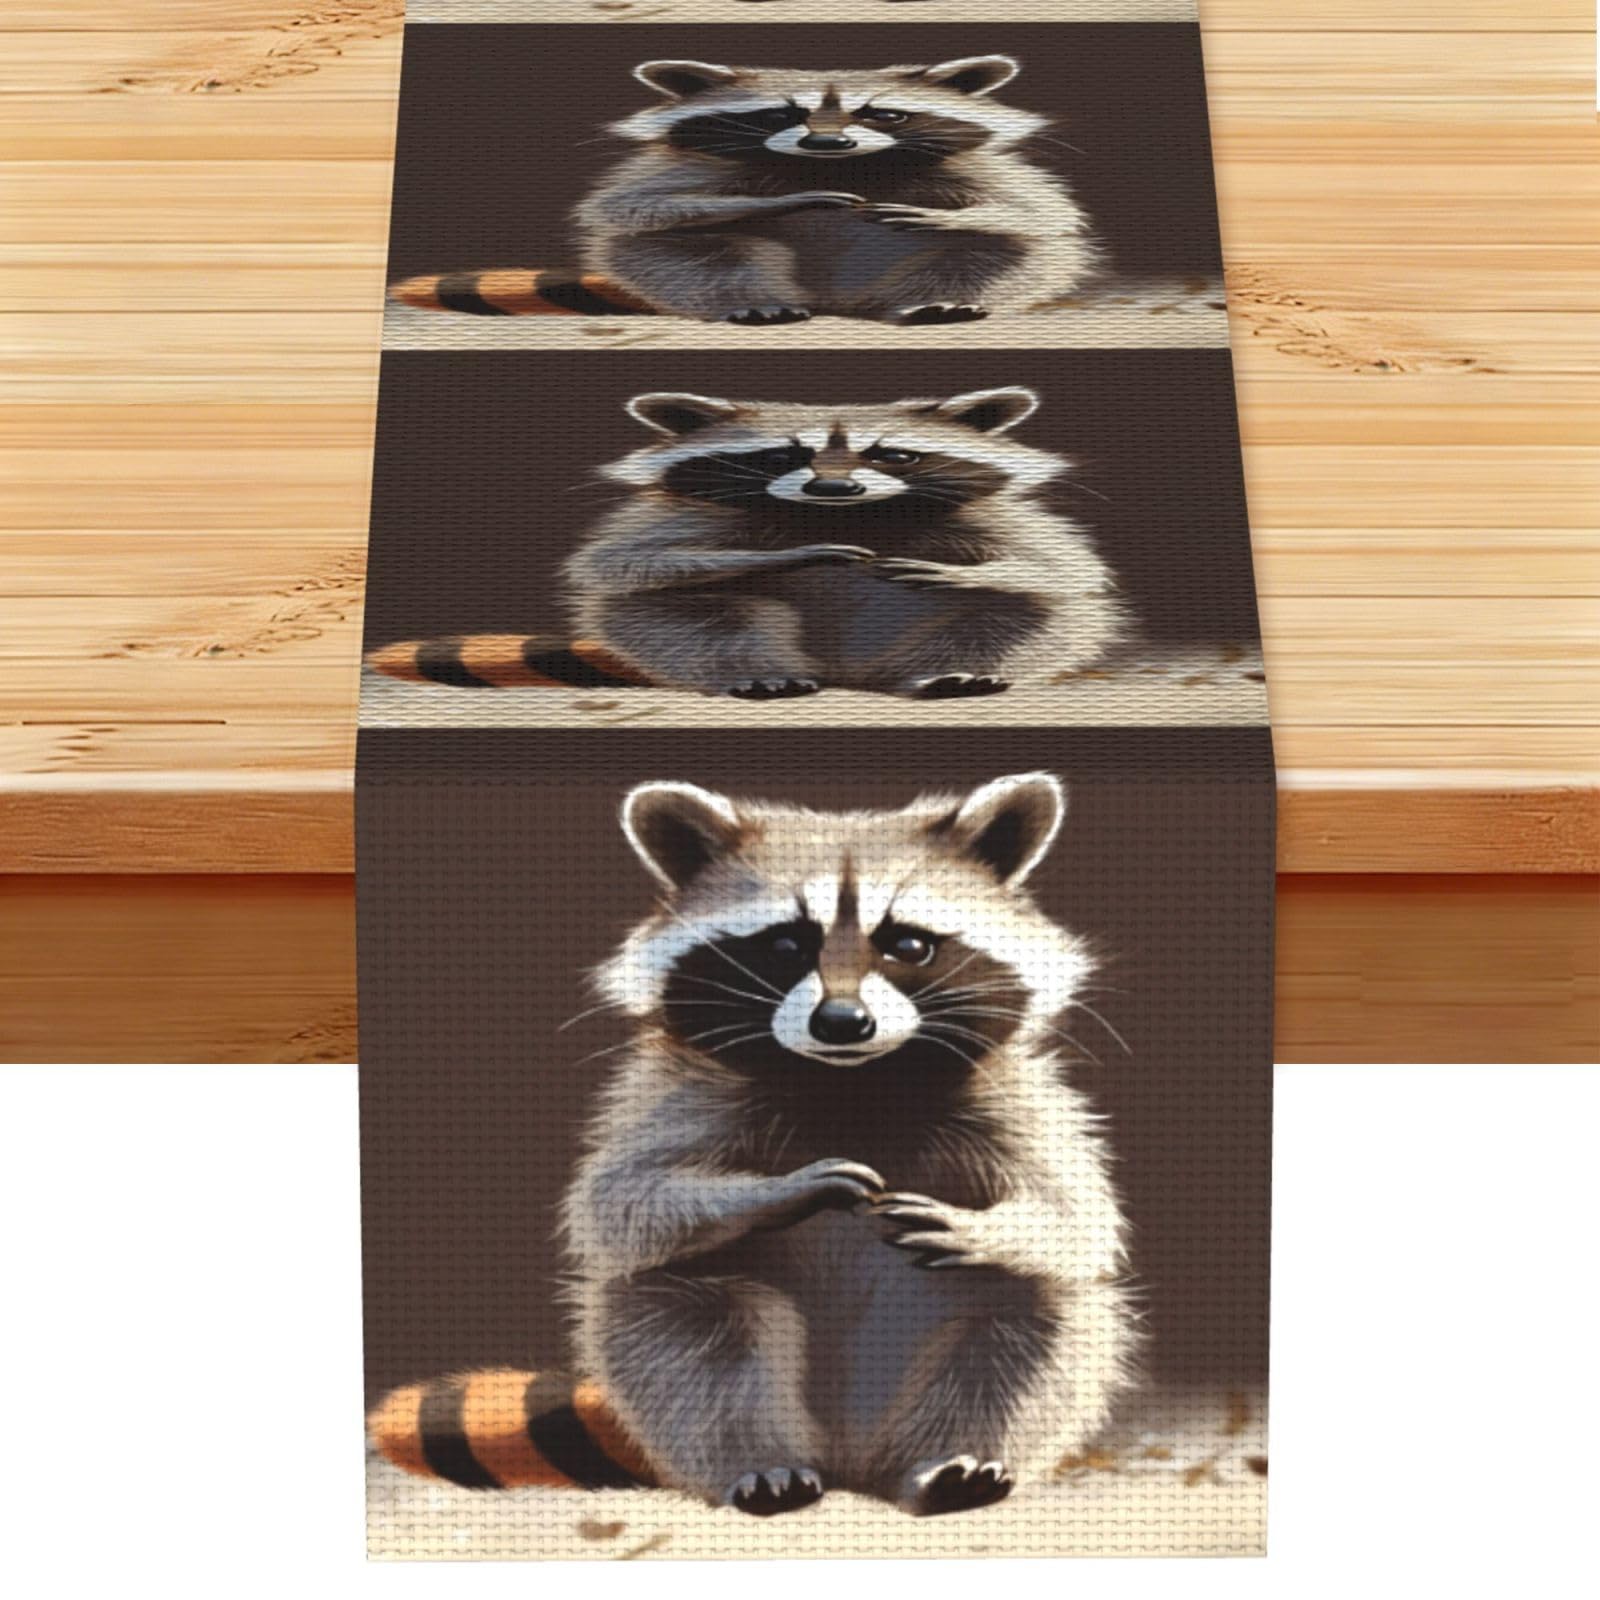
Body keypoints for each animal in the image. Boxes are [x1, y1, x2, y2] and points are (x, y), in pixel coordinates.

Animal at [561, 773, 1138, 1515]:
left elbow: (1077, 1218)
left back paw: (950, 1462)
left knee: (1033, 1322)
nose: (842, 1022)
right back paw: (761, 1464)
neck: (851, 1083)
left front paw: (983, 1227)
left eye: (908, 945)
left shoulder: (1015, 1100)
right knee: (691, 1341)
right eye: (786, 946)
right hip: (686, 1333)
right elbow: (624, 1201)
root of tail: (852, 1460)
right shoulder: (683, 1095)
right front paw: (780, 1191)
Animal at [563, 386, 1125, 700]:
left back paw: (953, 673)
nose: (833, 489)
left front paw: (958, 572)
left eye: (893, 455)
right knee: (700, 624)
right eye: (779, 458)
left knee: (1018, 615)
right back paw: (761, 673)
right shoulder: (698, 515)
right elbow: (624, 563)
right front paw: (787, 555)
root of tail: (848, 674)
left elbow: (1065, 569)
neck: (847, 517)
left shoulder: (983, 518)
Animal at [577, 55, 1096, 325]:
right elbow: (631, 207)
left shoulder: (965, 167)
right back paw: (752, 302)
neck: (841, 168)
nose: (827, 143)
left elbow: (1041, 212)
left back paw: (940, 301)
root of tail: (837, 302)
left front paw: (946, 216)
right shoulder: (704, 165)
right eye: (778, 115)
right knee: (695, 259)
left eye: (884, 114)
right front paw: (778, 202)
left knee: (1004, 252)